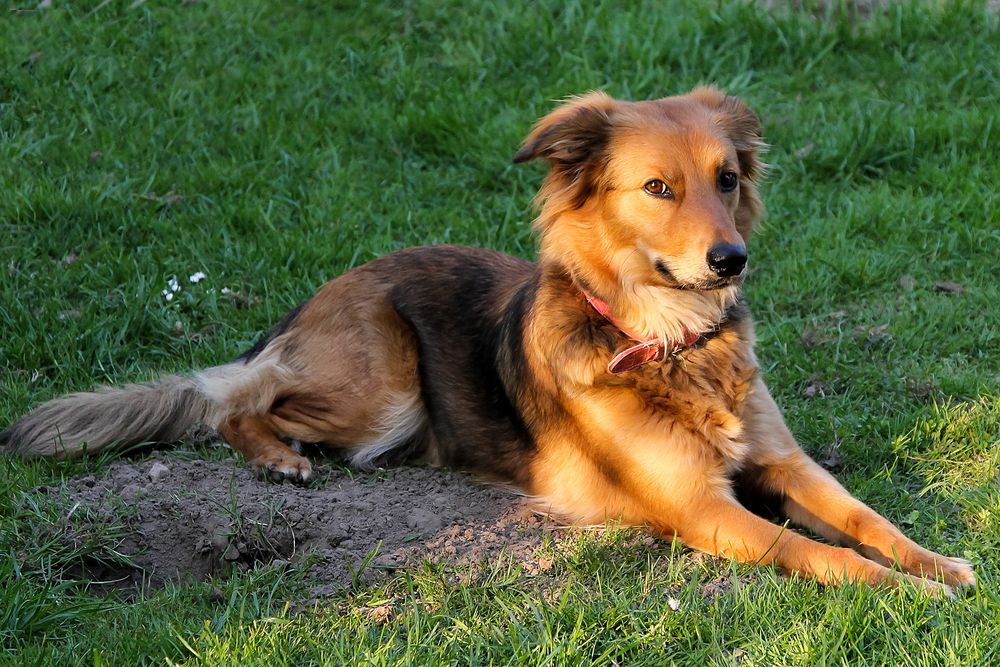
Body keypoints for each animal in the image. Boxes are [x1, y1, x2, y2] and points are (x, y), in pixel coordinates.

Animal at [1, 87, 976, 596]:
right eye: (658, 187)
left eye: (727, 178)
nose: (731, 260)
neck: (672, 346)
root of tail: (320, 298)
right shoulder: (701, 507)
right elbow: (818, 550)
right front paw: (910, 590)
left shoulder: (785, 462)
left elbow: (866, 518)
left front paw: (938, 562)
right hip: (383, 390)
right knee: (233, 398)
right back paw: (277, 457)